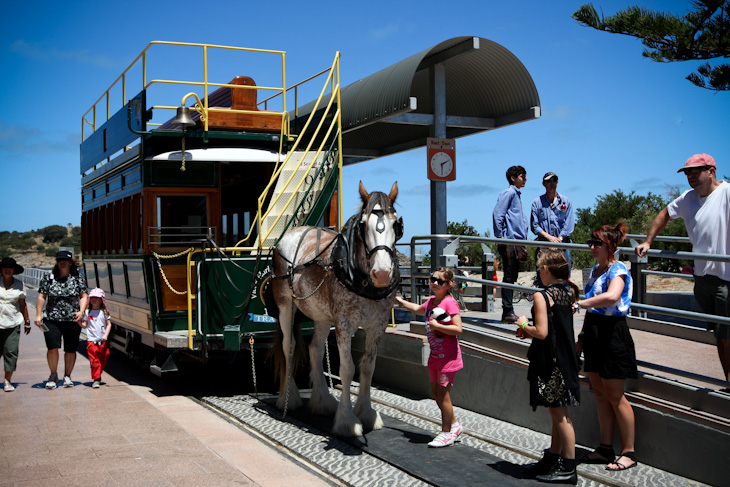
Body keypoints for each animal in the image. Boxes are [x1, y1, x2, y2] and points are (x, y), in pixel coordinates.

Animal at [270, 181, 400, 436]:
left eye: (395, 224)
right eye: (363, 225)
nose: (381, 273)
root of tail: (290, 234)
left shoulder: (377, 325)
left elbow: (368, 367)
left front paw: (367, 413)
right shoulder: (343, 323)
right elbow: (347, 369)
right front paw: (347, 420)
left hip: (320, 313)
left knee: (315, 349)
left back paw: (322, 400)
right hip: (285, 306)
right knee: (289, 345)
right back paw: (288, 398)